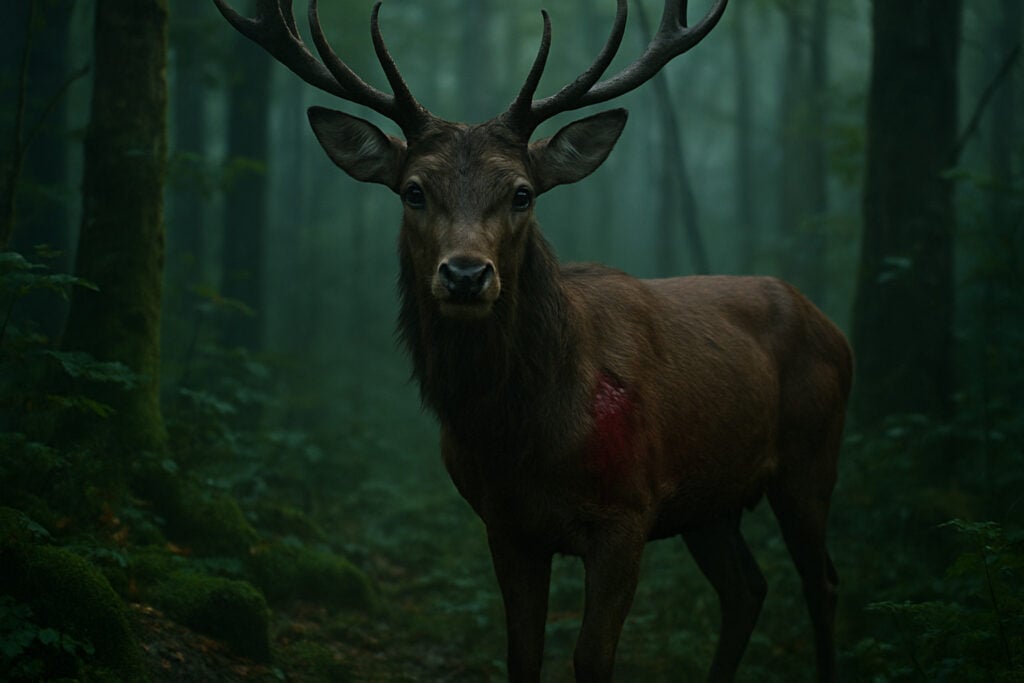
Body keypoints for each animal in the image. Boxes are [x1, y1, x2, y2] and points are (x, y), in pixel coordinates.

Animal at [213, 0, 852, 680]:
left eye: (522, 192)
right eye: (414, 190)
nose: (466, 274)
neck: (522, 436)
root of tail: (833, 328)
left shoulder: (629, 511)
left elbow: (591, 658)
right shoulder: (504, 522)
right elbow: (521, 653)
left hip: (812, 458)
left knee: (822, 583)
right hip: (710, 501)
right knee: (747, 590)